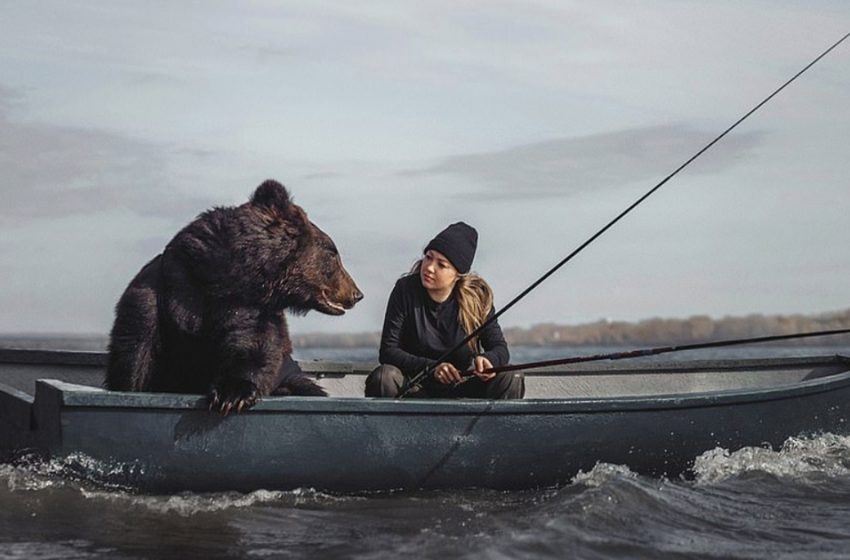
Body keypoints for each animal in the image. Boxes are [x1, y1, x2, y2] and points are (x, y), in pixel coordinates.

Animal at [105, 177, 362, 414]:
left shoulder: (250, 307)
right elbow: (135, 357)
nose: (357, 293)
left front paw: (232, 394)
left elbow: (252, 344)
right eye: (333, 252)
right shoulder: (163, 291)